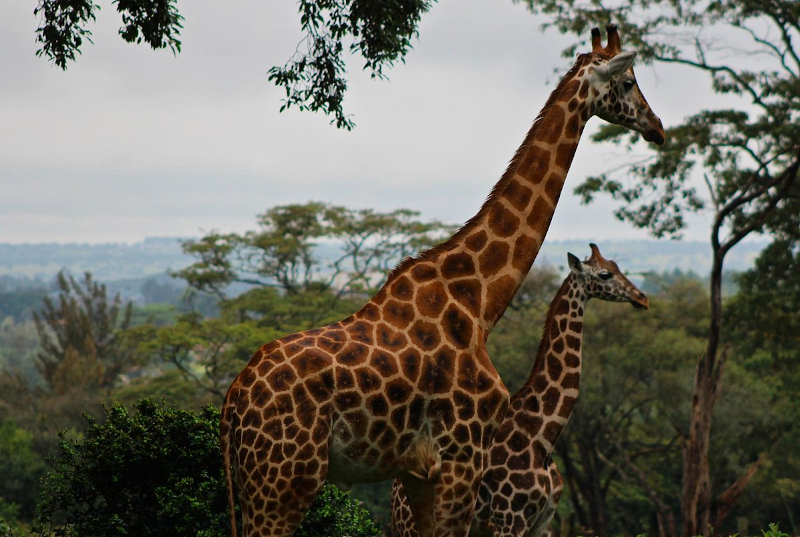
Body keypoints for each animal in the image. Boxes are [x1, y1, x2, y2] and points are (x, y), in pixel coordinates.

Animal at [392, 244, 648, 536]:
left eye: (616, 266)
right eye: (605, 274)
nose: (642, 298)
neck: (543, 436)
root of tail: (394, 495)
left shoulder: (543, 521)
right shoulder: (510, 518)